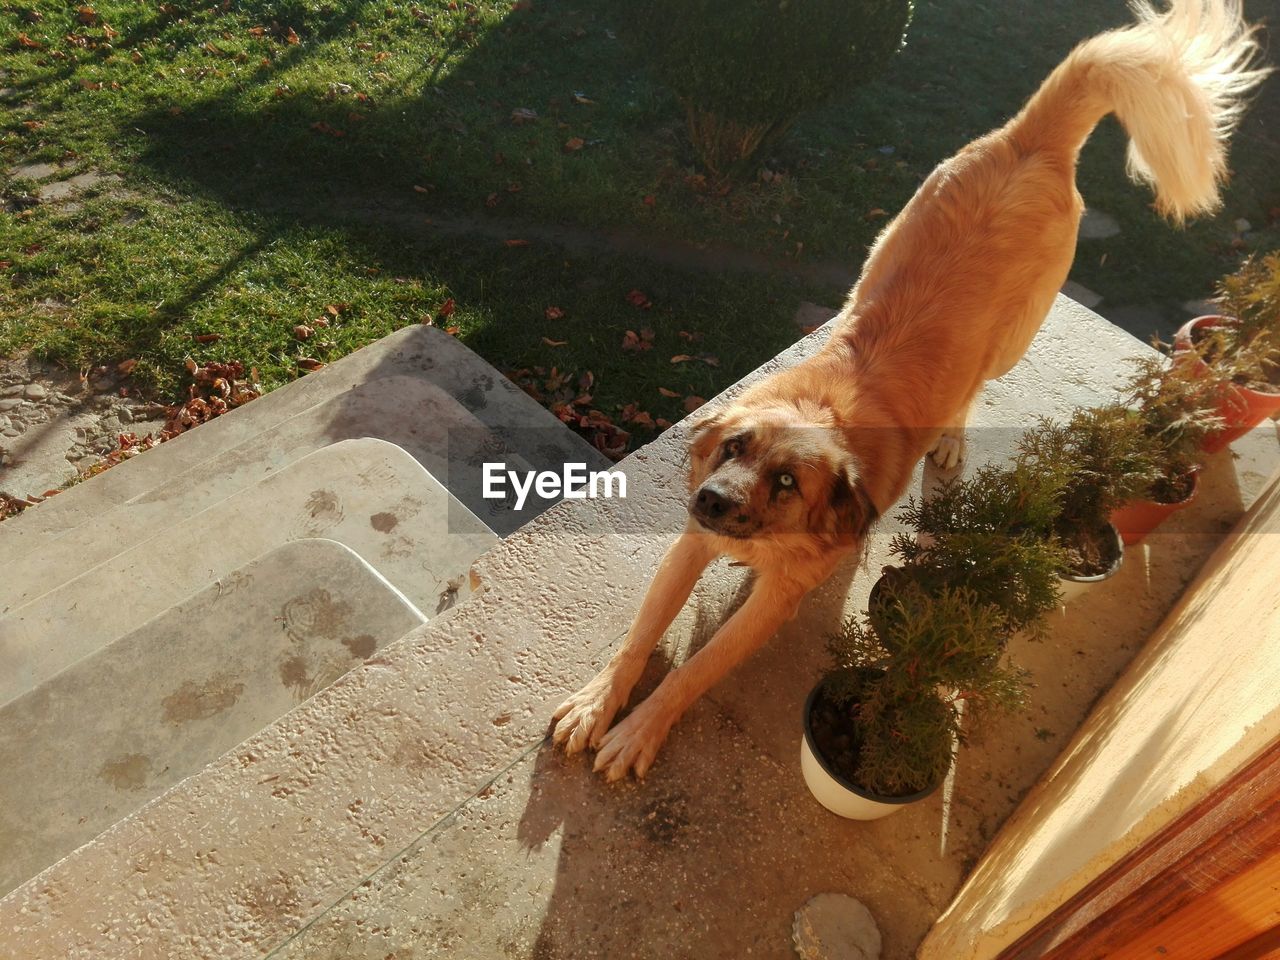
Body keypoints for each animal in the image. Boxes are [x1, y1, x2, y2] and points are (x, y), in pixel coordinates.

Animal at [550, 0, 1269, 783]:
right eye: (733, 448)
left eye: (787, 481)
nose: (711, 501)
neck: (825, 416)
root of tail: (1030, 139)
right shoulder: (690, 543)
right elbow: (640, 633)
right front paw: (599, 701)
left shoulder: (776, 600)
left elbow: (696, 668)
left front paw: (641, 727)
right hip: (880, 252)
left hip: (1013, 337)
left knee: (973, 383)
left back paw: (949, 436)